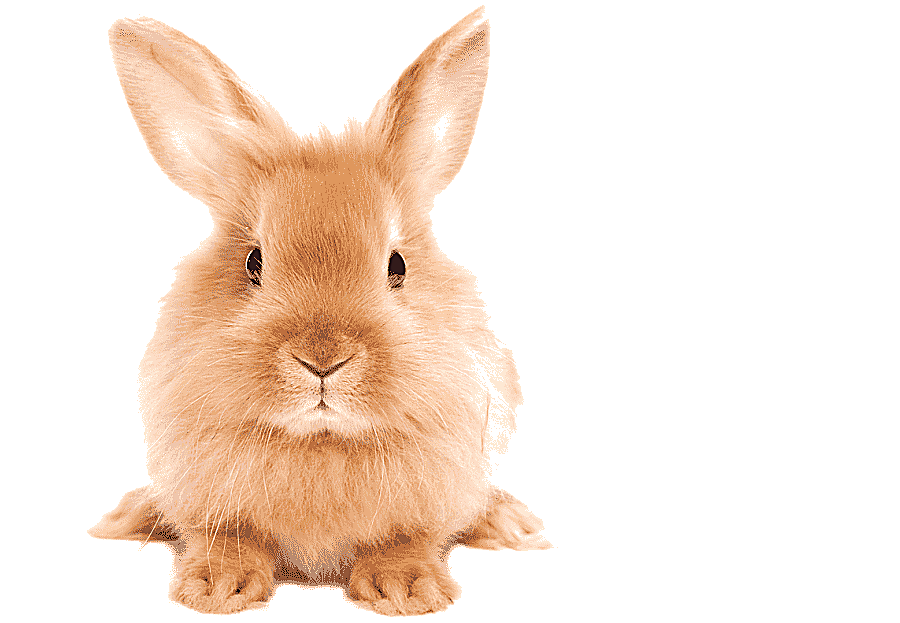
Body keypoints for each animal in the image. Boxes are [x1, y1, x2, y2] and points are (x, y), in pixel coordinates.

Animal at [83, 4, 570, 617]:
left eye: (397, 265)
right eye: (254, 261)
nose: (322, 360)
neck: (321, 442)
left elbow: (406, 538)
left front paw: (405, 591)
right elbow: (227, 537)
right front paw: (217, 589)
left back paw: (519, 524)